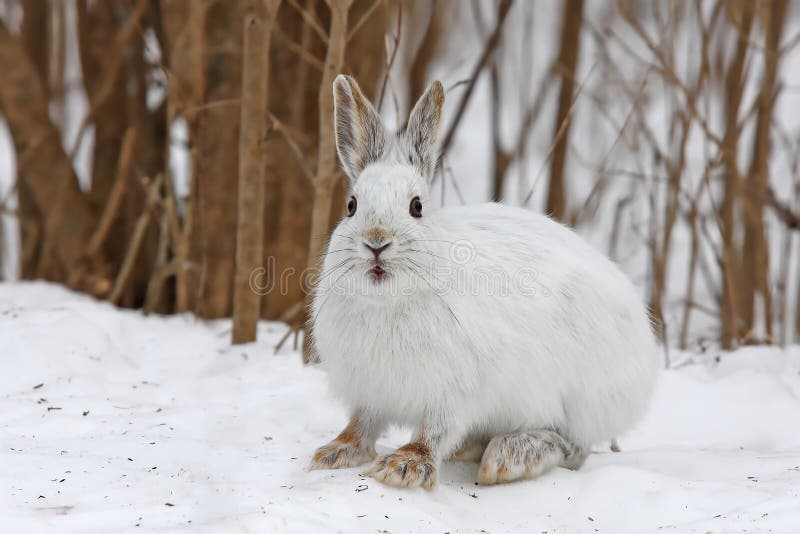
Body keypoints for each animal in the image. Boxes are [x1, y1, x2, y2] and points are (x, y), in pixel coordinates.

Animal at [309, 75, 660, 489]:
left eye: (416, 206)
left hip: (577, 396)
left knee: (573, 447)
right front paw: (334, 452)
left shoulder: (455, 393)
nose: (376, 242)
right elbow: (362, 424)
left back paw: (510, 457)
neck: (387, 301)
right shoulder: (370, 392)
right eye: (351, 206)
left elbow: (435, 431)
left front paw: (404, 466)